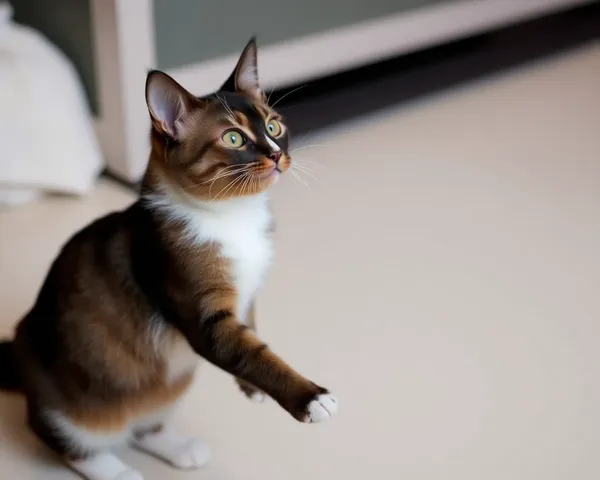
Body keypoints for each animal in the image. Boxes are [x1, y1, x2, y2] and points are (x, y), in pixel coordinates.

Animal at [0, 39, 338, 480]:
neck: (234, 218)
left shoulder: (246, 298)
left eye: (273, 126)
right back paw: (119, 472)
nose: (278, 154)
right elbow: (255, 356)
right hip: (71, 411)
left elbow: (254, 337)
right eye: (233, 138)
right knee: (71, 443)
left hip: (168, 386)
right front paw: (311, 398)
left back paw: (180, 449)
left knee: (145, 425)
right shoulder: (204, 316)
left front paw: (251, 390)